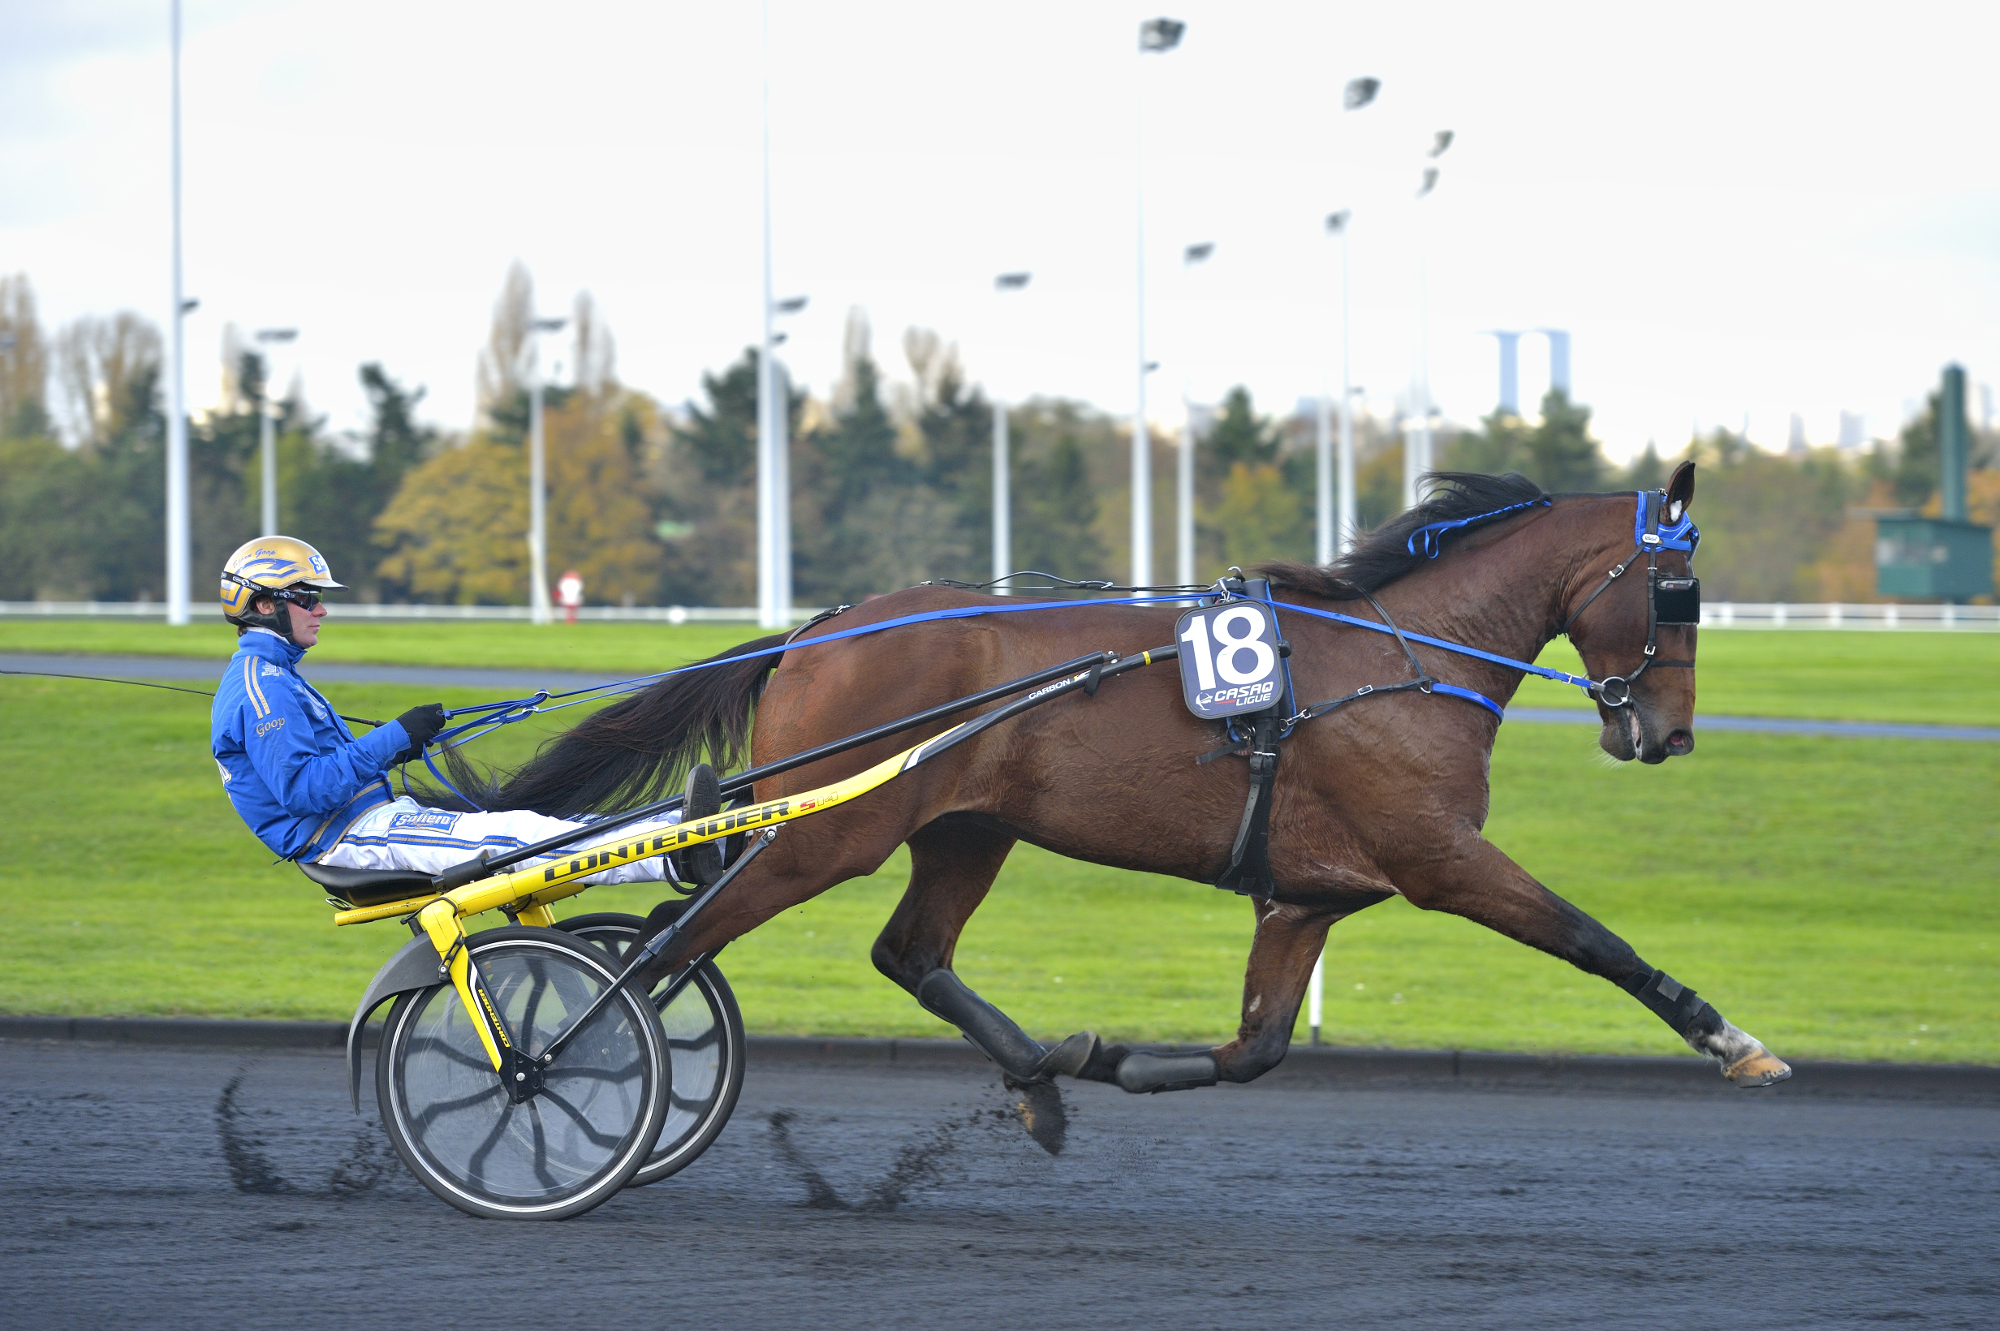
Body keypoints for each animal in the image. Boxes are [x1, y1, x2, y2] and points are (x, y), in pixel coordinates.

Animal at [454, 461, 1800, 1095]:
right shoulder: (1437, 856)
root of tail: (821, 626)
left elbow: (1256, 1045)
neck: (1403, 656)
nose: (1666, 733)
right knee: (669, 942)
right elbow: (1593, 938)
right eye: (1676, 588)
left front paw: (1112, 1058)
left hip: (964, 825)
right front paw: (1733, 1038)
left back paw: (1040, 1069)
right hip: (830, 828)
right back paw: (552, 1062)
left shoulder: (1306, 894)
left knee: (904, 949)